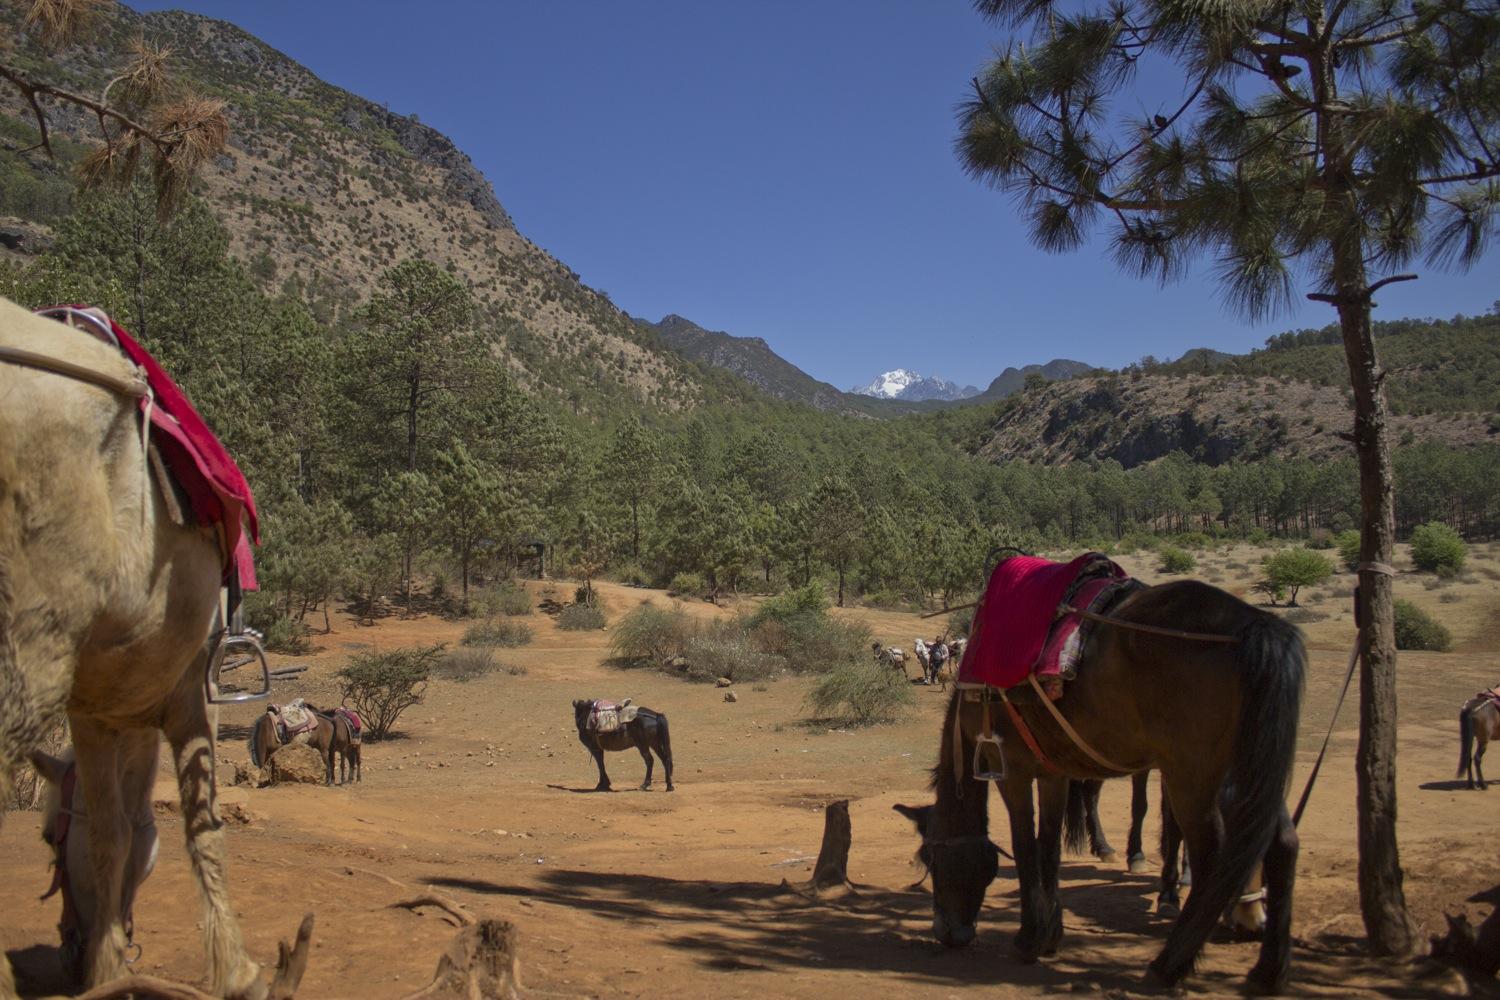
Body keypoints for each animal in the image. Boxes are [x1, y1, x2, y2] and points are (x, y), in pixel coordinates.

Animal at [0, 297, 265, 998]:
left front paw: (108, 966)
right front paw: (233, 969)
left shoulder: (100, 710)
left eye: (46, 837)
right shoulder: (178, 696)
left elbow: (127, 832)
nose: (68, 953)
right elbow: (182, 830)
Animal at [923, 580, 1302, 993]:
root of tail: (1254, 625)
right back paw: (1268, 972)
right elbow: (1048, 849)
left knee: (1213, 857)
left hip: (1192, 777)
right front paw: (1051, 935)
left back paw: (1168, 966)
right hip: (1246, 768)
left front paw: (1028, 939)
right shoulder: (1053, 774)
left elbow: (1025, 848)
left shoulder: (1011, 771)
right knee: (1281, 844)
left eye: (932, 861)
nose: (950, 933)